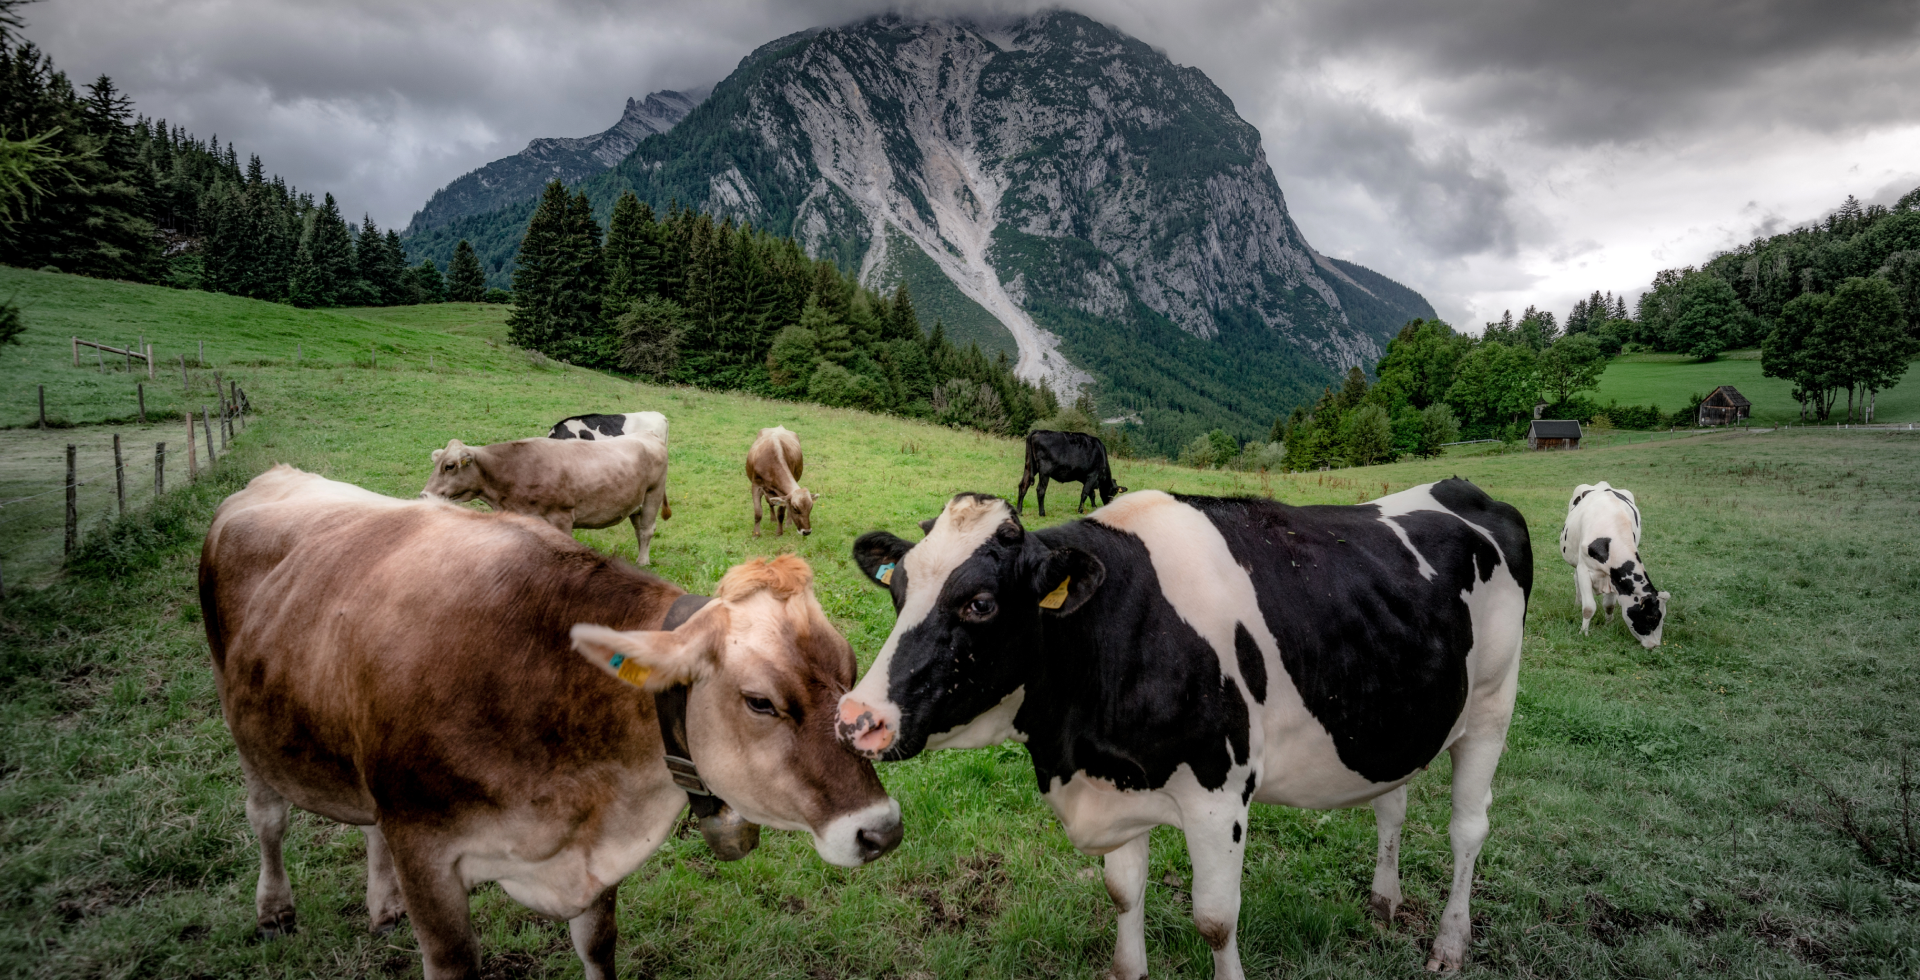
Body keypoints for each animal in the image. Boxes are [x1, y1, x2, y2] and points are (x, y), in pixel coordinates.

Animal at [201, 466, 901, 980]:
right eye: (759, 702)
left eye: (851, 668)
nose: (882, 830)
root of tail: (273, 475)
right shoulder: (424, 847)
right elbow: (454, 959)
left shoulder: (591, 861)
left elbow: (598, 948)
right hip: (247, 725)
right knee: (267, 817)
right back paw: (275, 911)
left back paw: (383, 904)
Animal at [423, 433, 668, 563]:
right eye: (435, 463)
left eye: (449, 466)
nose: (424, 495)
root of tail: (647, 434)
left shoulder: (561, 516)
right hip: (635, 504)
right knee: (639, 529)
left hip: (653, 495)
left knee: (646, 531)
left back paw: (643, 562)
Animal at [838, 482, 1532, 977]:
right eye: (898, 590)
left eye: (979, 604)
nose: (855, 718)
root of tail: (1465, 489)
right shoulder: (1117, 782)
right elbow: (1123, 894)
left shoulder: (1219, 795)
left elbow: (1216, 920)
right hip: (1397, 713)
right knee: (1392, 802)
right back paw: (1385, 900)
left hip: (1492, 706)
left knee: (1469, 829)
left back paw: (1449, 944)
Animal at [1560, 482, 1669, 647]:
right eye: (1652, 617)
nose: (1655, 645)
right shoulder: (1584, 570)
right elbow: (1589, 607)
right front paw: (1583, 633)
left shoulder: (1612, 576)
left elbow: (1609, 605)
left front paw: (1608, 625)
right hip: (1574, 560)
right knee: (1575, 579)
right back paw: (1577, 603)